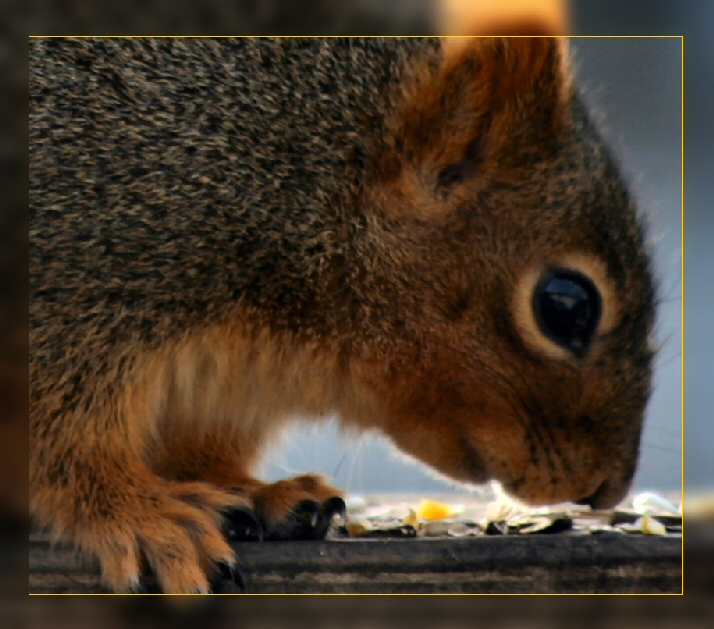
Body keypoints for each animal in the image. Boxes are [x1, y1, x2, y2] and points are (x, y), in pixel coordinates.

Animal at [29, 36, 652, 592]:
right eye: (565, 306)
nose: (606, 490)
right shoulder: (80, 284)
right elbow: (63, 443)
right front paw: (142, 515)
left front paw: (249, 490)